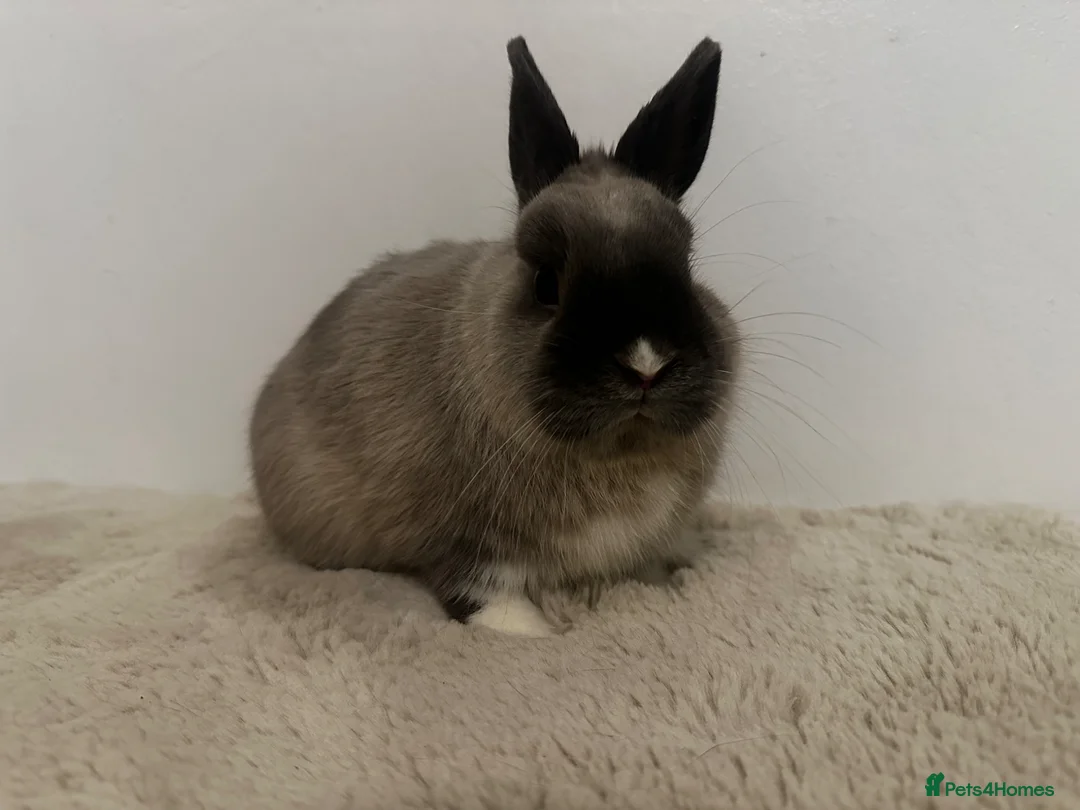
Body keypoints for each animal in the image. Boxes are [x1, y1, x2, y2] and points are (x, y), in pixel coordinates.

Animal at [249, 35, 740, 637]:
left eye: (687, 267)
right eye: (545, 282)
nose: (646, 365)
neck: (615, 457)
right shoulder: (466, 543)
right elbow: (486, 594)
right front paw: (538, 634)